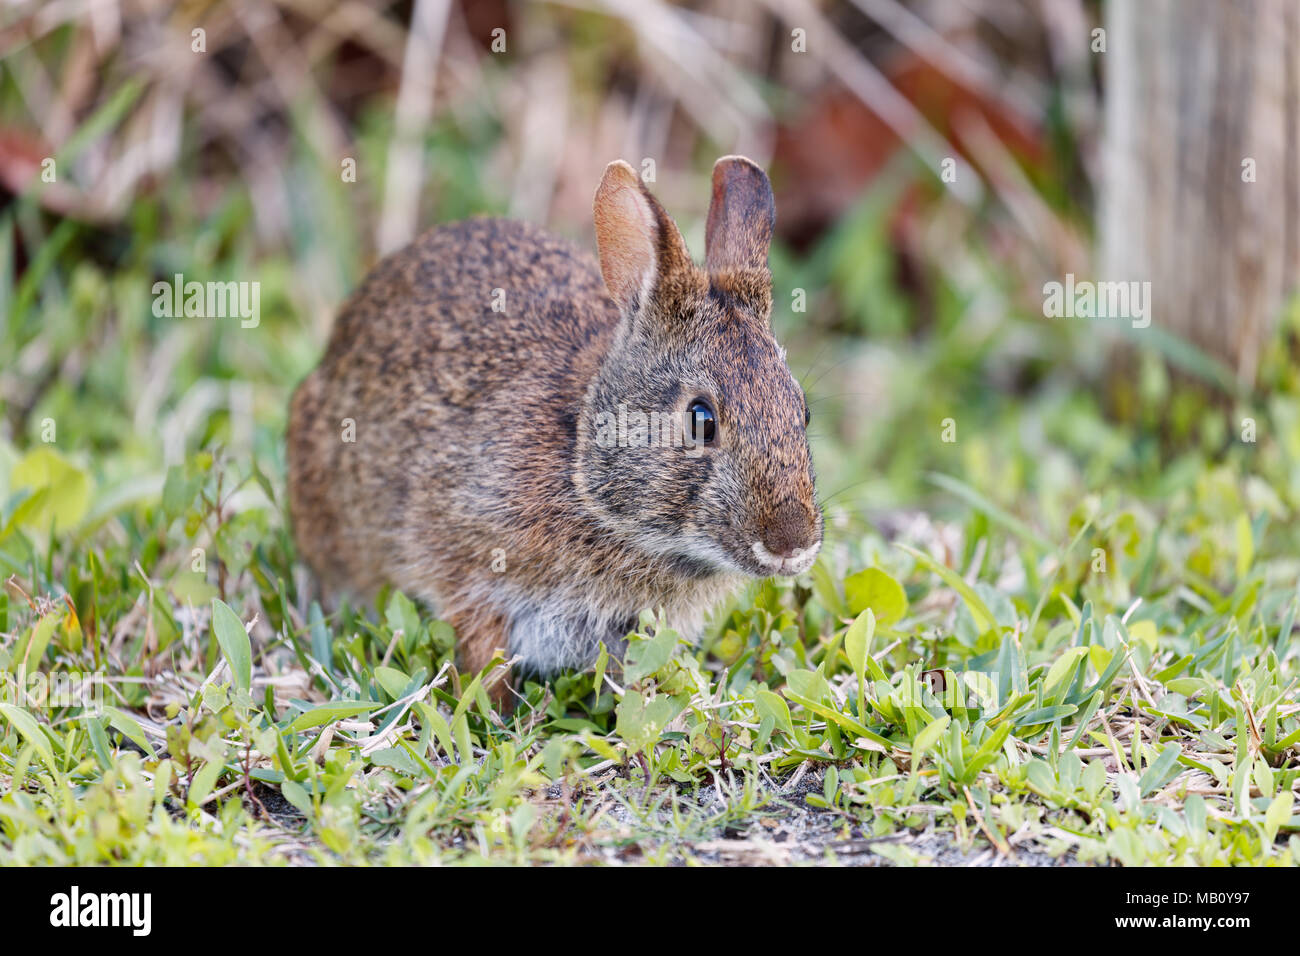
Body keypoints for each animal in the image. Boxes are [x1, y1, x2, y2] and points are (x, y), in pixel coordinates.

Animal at [287, 156, 822, 695]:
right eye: (701, 419)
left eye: (802, 411)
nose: (791, 544)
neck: (584, 465)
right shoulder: (468, 565)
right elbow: (482, 648)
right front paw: (490, 704)